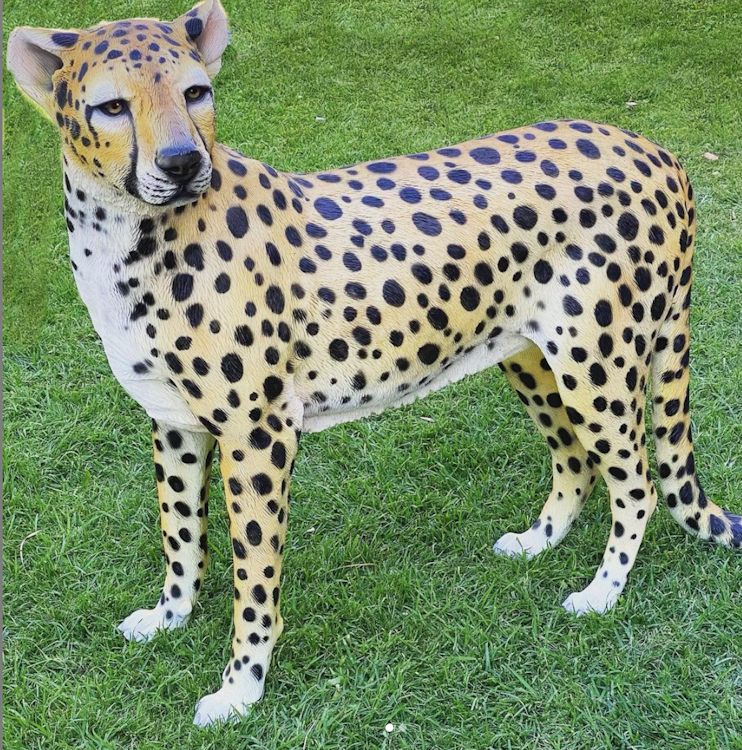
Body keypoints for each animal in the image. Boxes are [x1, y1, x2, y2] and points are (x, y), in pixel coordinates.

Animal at [8, 0, 741, 727]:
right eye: (111, 106)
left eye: (196, 93)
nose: (184, 162)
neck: (125, 232)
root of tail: (652, 148)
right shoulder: (174, 423)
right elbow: (182, 535)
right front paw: (169, 616)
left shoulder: (258, 433)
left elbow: (254, 573)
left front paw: (241, 688)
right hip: (530, 355)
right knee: (576, 459)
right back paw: (540, 540)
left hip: (597, 363)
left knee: (638, 482)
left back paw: (603, 591)